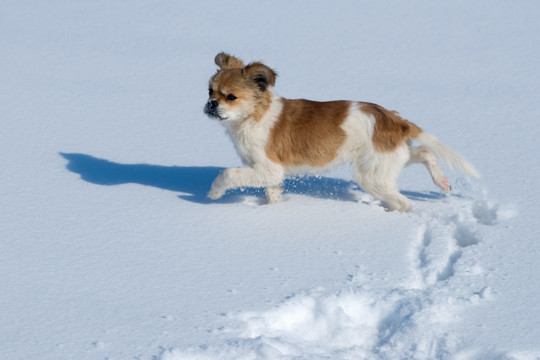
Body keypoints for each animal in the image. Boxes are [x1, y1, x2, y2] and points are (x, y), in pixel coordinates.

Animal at [204, 53, 480, 211]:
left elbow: (226, 174)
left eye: (230, 97)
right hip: (388, 160)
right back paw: (442, 182)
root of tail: (393, 119)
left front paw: (213, 193)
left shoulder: (268, 167)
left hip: (372, 174)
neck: (253, 115)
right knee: (424, 152)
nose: (211, 105)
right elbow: (272, 194)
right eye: (210, 91)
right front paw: (270, 210)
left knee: (403, 202)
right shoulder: (269, 173)